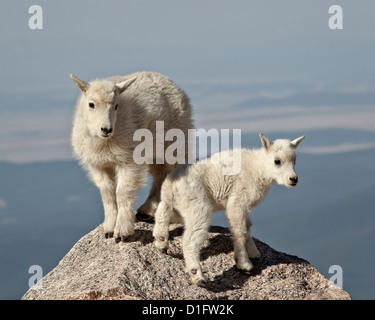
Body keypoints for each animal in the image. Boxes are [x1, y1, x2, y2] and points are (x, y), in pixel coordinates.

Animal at [70, 72, 194, 242]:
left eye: (116, 105)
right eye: (91, 104)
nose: (106, 129)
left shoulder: (129, 160)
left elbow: (123, 192)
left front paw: (122, 232)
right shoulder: (98, 164)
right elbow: (107, 192)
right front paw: (108, 229)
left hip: (174, 143)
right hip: (154, 150)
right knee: (160, 174)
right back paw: (146, 211)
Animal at [153, 132, 306, 288]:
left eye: (294, 160)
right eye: (277, 161)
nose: (293, 179)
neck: (259, 169)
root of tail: (171, 185)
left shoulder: (244, 207)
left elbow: (247, 226)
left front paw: (254, 253)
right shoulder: (237, 201)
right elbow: (240, 231)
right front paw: (244, 263)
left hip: (176, 205)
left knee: (161, 212)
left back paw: (161, 242)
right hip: (197, 206)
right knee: (189, 240)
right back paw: (197, 275)